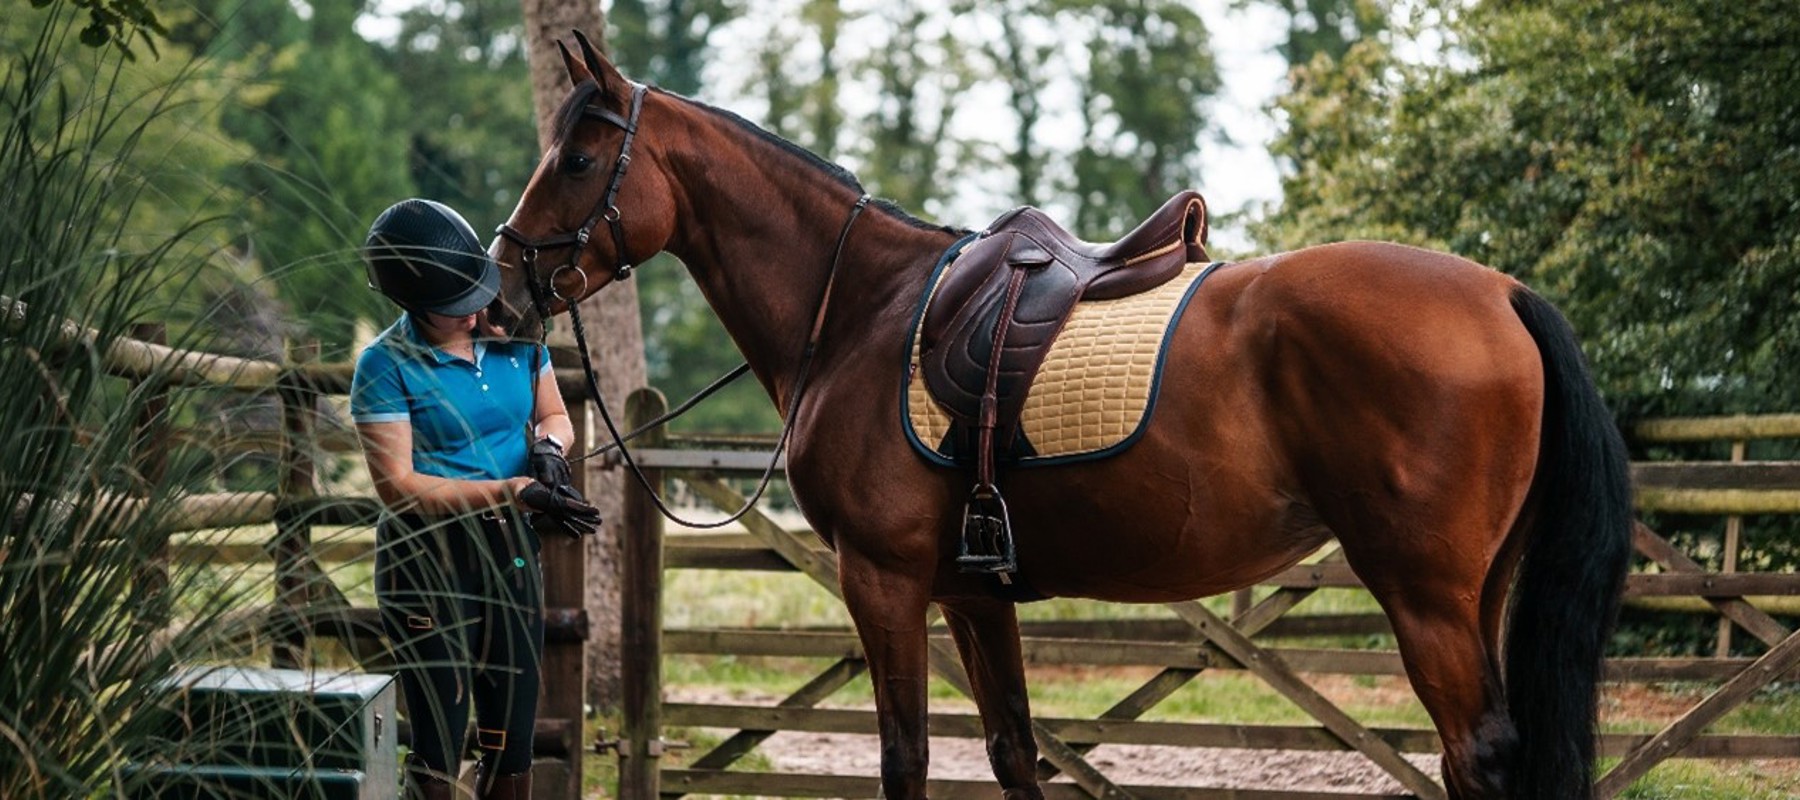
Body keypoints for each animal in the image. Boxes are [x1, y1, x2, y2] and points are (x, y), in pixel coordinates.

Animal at [487, 35, 1632, 800]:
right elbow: (1011, 752)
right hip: (1477, 590)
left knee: (1477, 756)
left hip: (1424, 593)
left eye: (577, 160)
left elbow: (906, 755)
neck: (859, 307)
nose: (499, 289)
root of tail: (1503, 293)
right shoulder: (971, 591)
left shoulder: (882, 580)